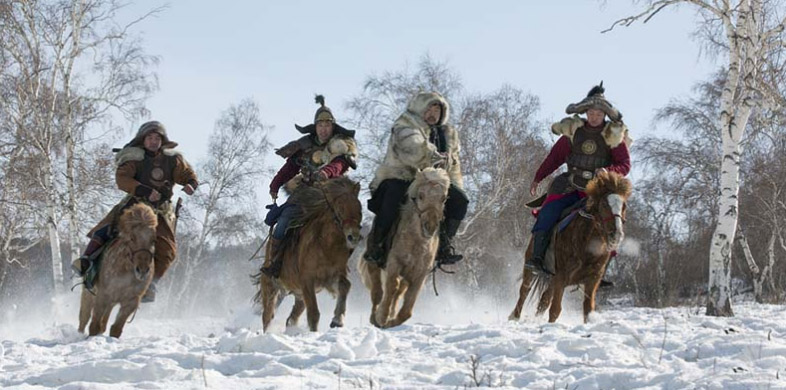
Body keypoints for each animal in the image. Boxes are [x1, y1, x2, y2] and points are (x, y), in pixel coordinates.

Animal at [77, 203, 157, 336]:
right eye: (132, 238)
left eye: (153, 239)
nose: (142, 270)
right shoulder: (103, 295)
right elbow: (94, 325)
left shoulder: (131, 301)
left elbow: (116, 328)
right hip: (89, 294)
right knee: (84, 318)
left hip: (112, 302)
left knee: (103, 323)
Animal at [258, 177, 362, 332]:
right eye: (340, 209)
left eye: (359, 210)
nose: (353, 237)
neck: (327, 245)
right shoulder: (307, 280)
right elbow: (314, 314)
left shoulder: (331, 277)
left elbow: (345, 285)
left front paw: (337, 320)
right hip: (271, 286)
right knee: (267, 316)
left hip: (298, 295)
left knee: (291, 319)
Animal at [358, 168, 450, 330]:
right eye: (421, 195)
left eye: (443, 198)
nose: (430, 226)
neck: (417, 242)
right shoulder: (394, 263)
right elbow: (391, 286)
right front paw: (382, 317)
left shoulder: (420, 274)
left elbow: (407, 309)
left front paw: (390, 321)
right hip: (373, 265)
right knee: (377, 292)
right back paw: (375, 317)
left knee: (399, 292)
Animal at [508, 171, 632, 322]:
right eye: (603, 204)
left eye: (624, 206)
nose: (617, 234)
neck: (587, 243)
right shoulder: (561, 277)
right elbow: (555, 310)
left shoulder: (592, 281)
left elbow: (588, 310)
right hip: (531, 266)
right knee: (525, 290)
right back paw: (514, 316)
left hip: (552, 279)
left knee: (544, 299)